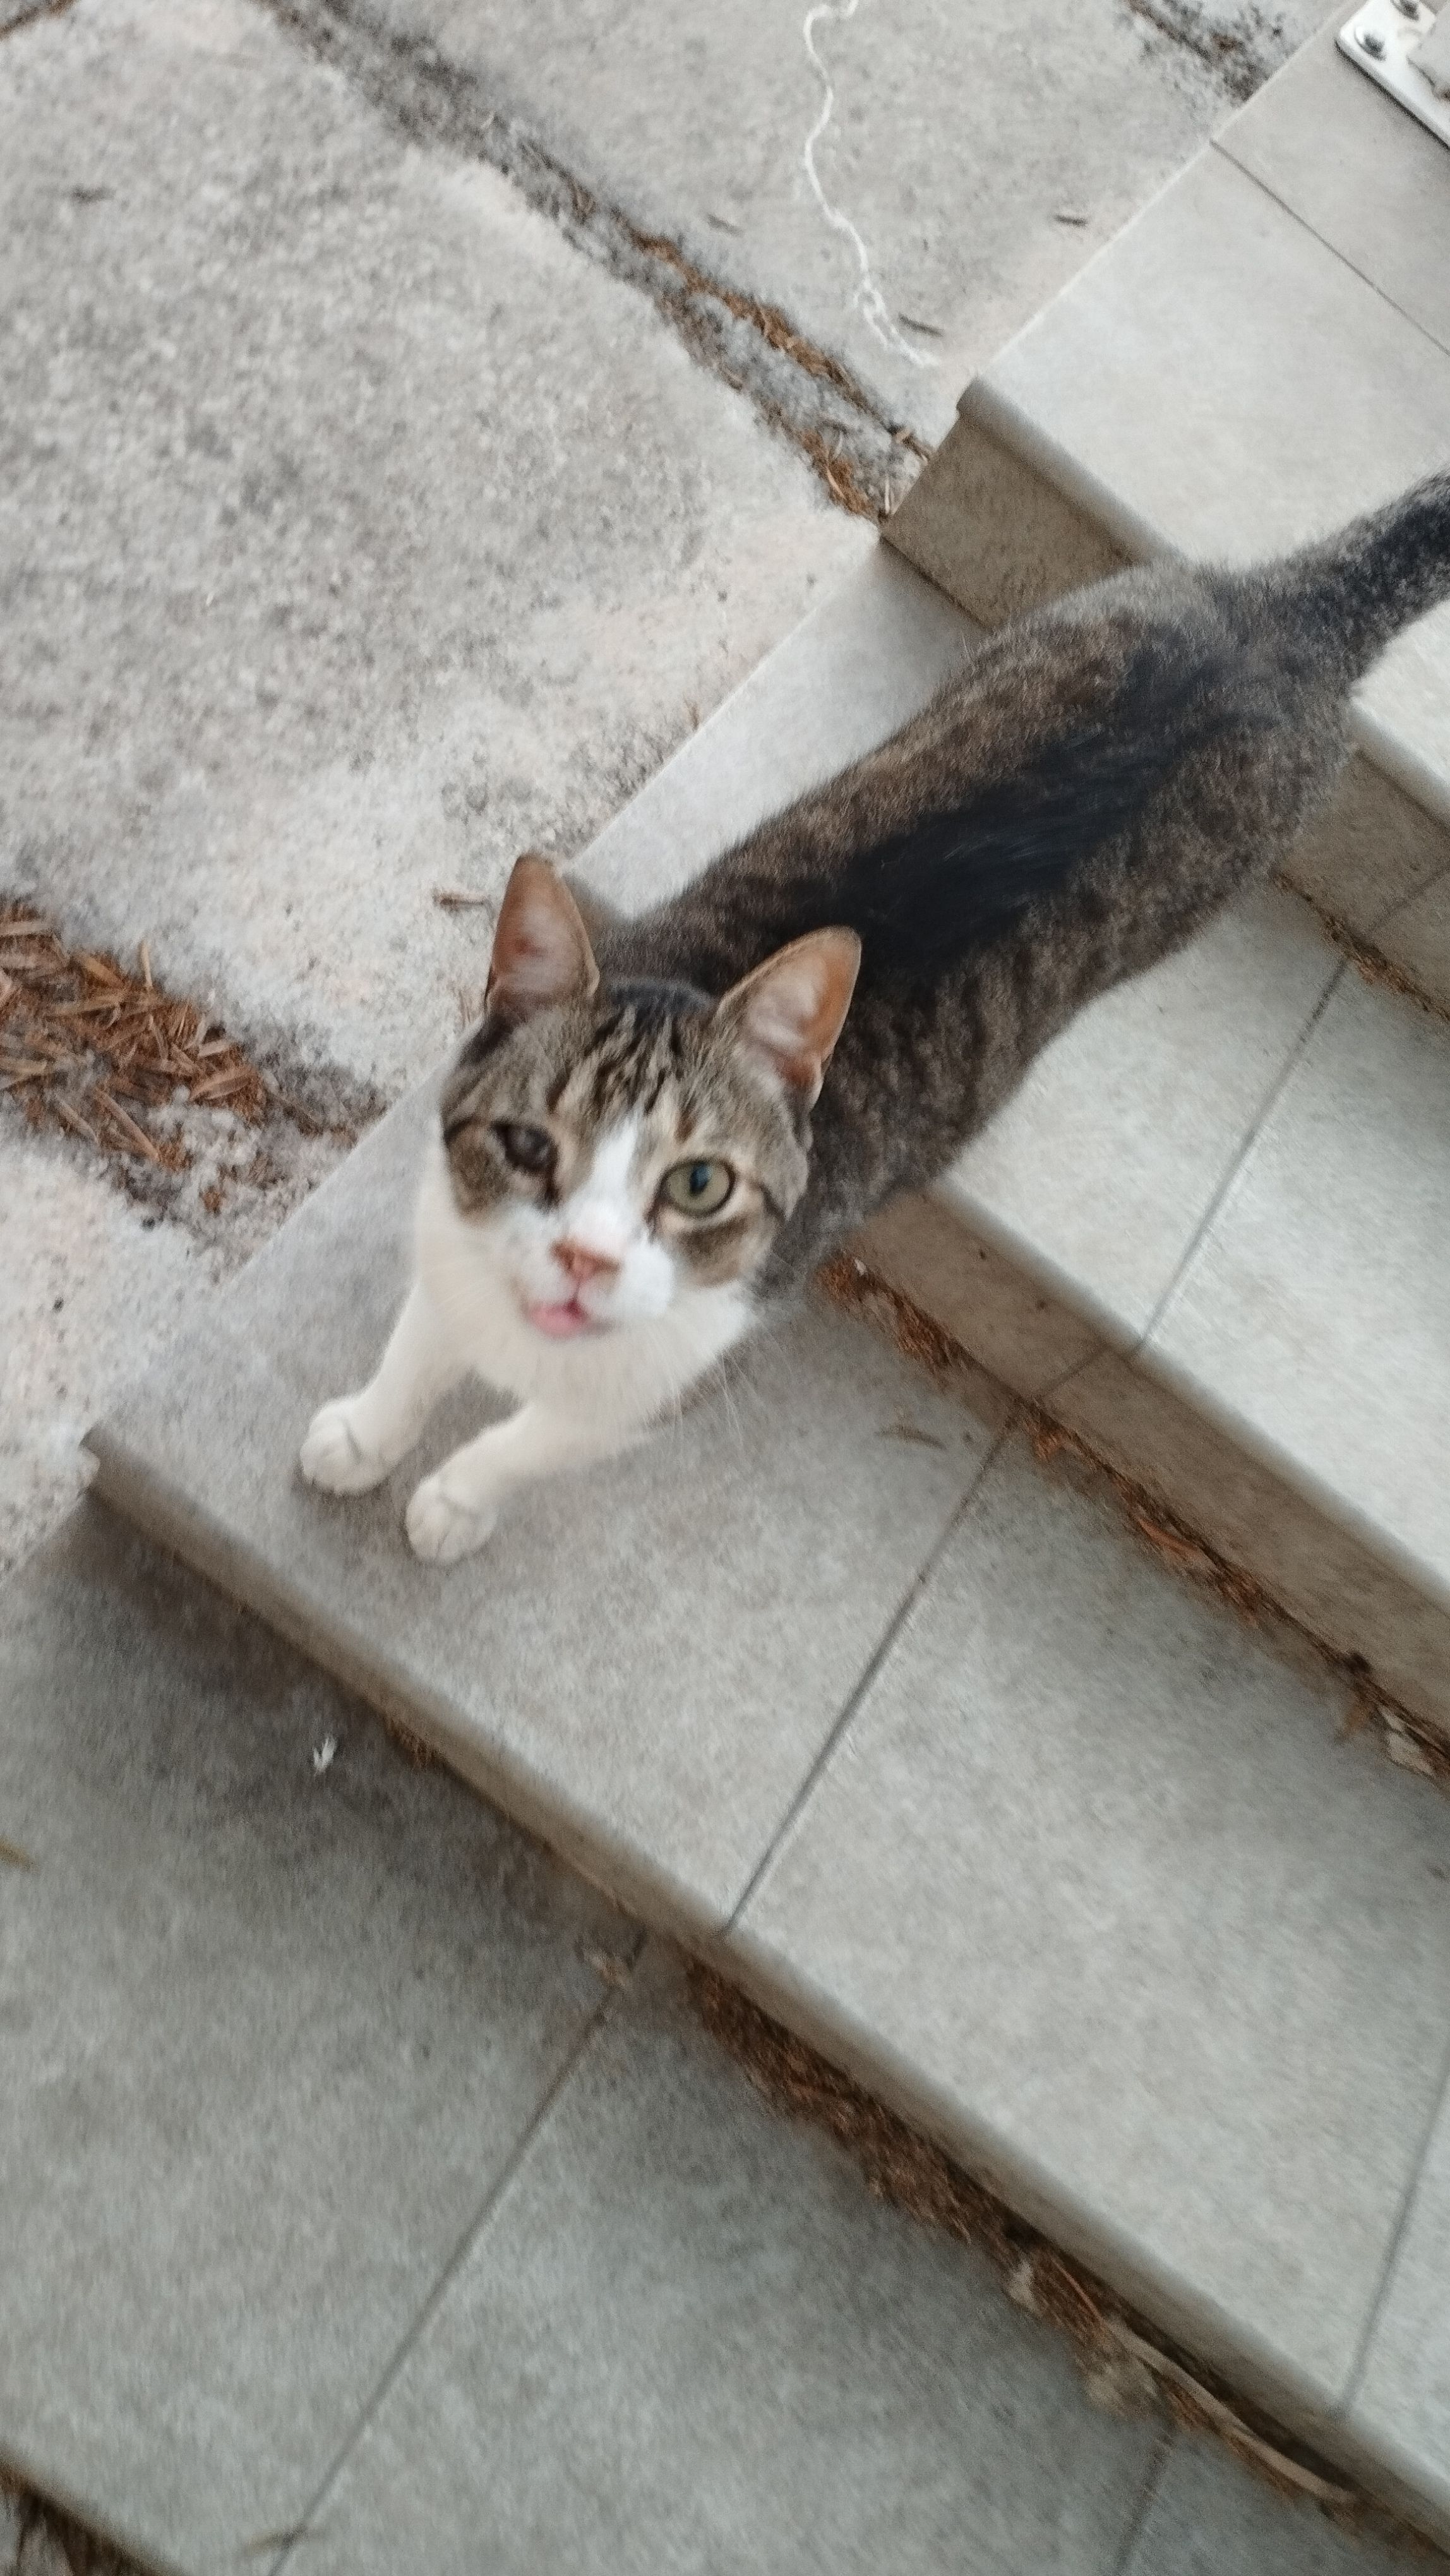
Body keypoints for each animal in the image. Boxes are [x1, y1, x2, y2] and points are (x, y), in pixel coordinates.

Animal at [300, 473, 1450, 1562]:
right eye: (530, 1145)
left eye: (699, 1185)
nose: (586, 1260)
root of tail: (1282, 613)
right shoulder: (455, 1225)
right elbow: (422, 1342)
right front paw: (368, 1432)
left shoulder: (680, 1375)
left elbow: (536, 1441)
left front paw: (458, 1498)